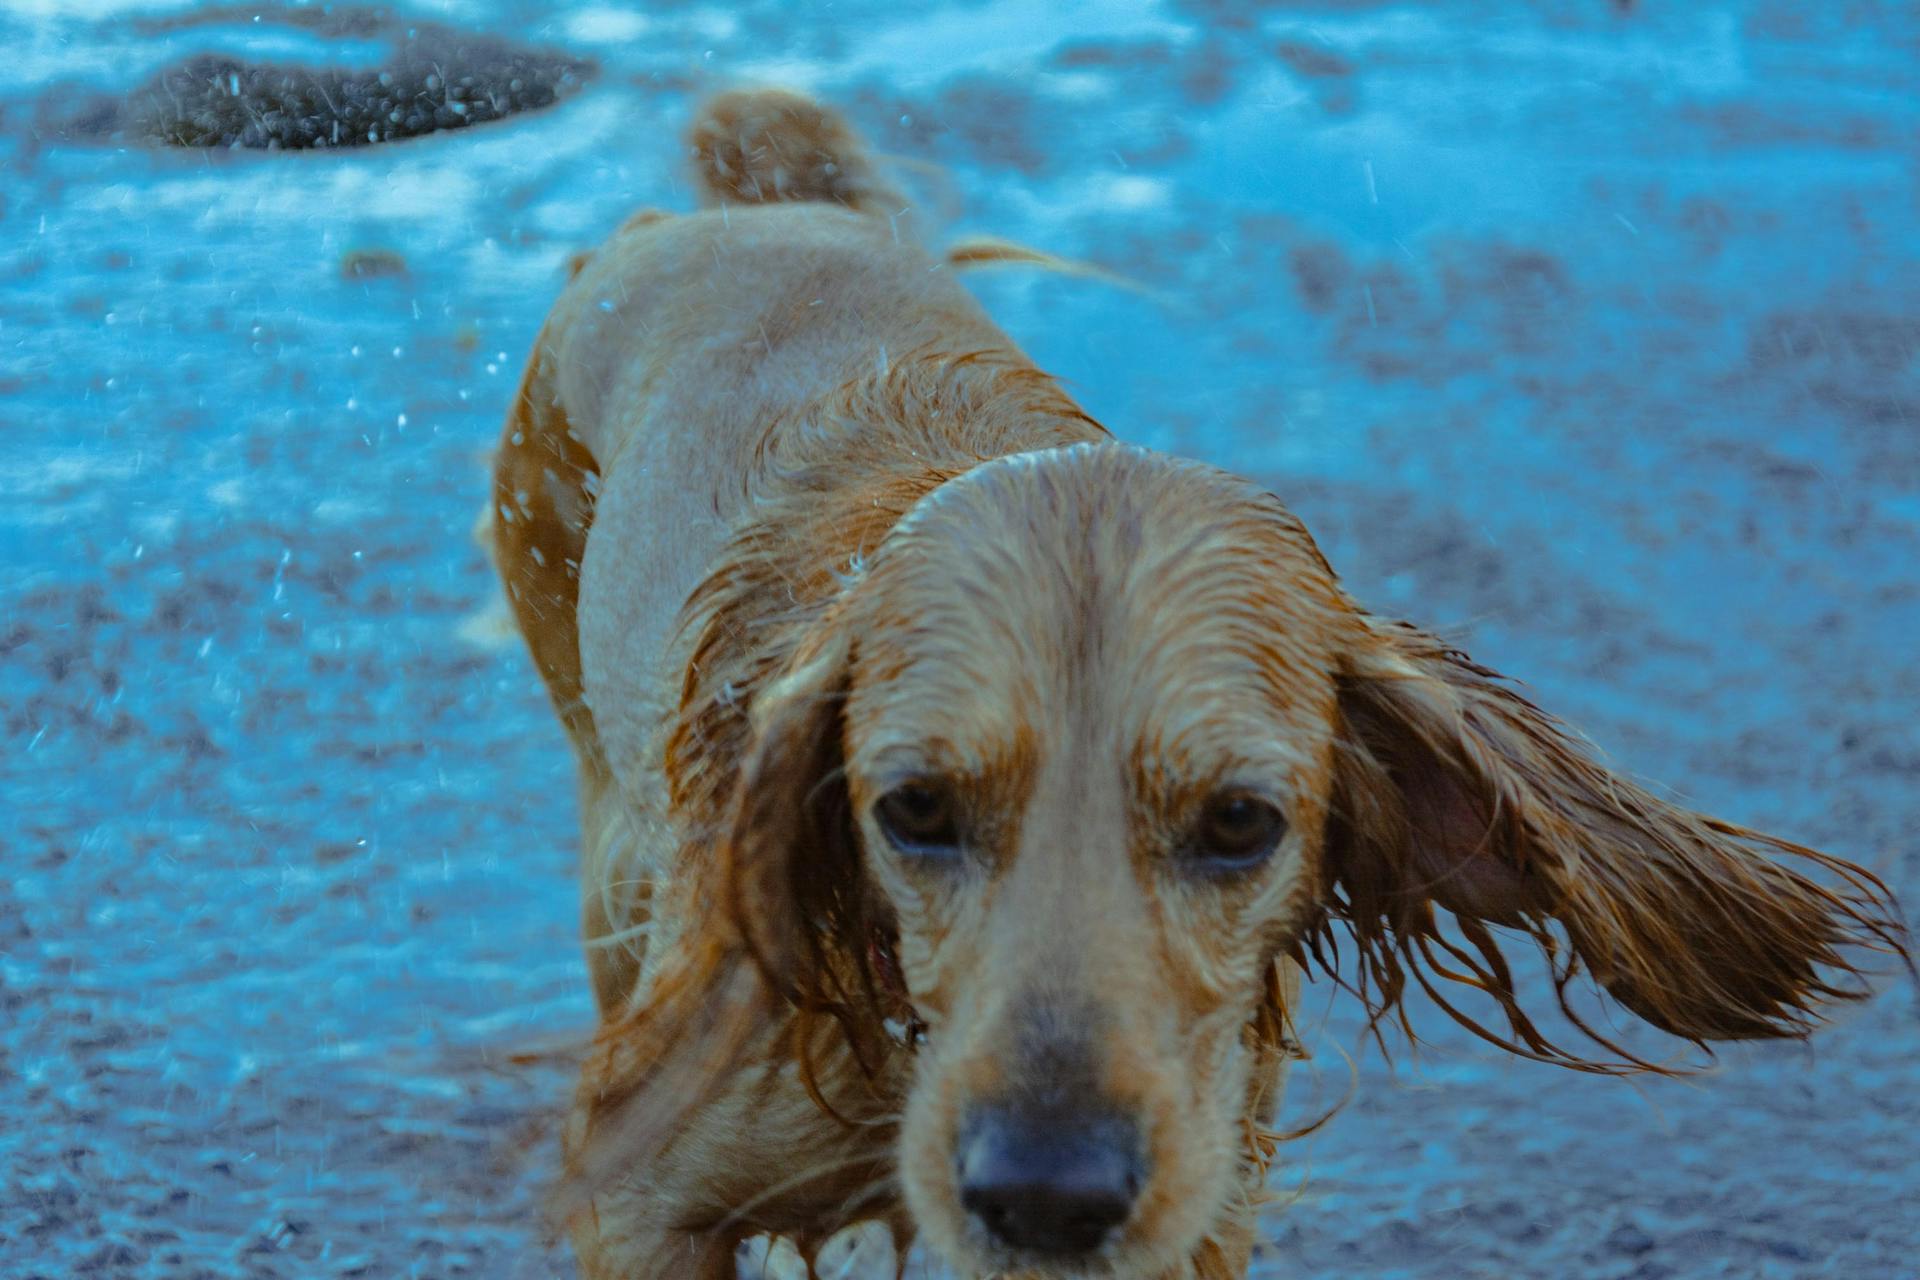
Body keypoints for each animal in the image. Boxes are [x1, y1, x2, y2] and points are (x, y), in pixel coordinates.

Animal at [483, 90, 1904, 1280]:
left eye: (1238, 823)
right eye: (914, 810)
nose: (1046, 1193)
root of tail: (728, 217)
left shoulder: (1196, 1204)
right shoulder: (642, 1192)